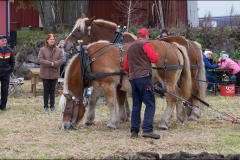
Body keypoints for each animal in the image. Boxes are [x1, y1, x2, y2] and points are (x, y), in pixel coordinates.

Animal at [58, 39, 191, 130]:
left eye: (68, 107)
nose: (65, 126)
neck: (88, 59)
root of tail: (173, 46)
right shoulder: (99, 84)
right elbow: (92, 100)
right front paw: (89, 119)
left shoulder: (108, 84)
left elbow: (111, 103)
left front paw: (112, 122)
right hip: (172, 82)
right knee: (179, 96)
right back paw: (179, 119)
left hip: (166, 81)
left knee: (172, 98)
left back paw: (164, 123)